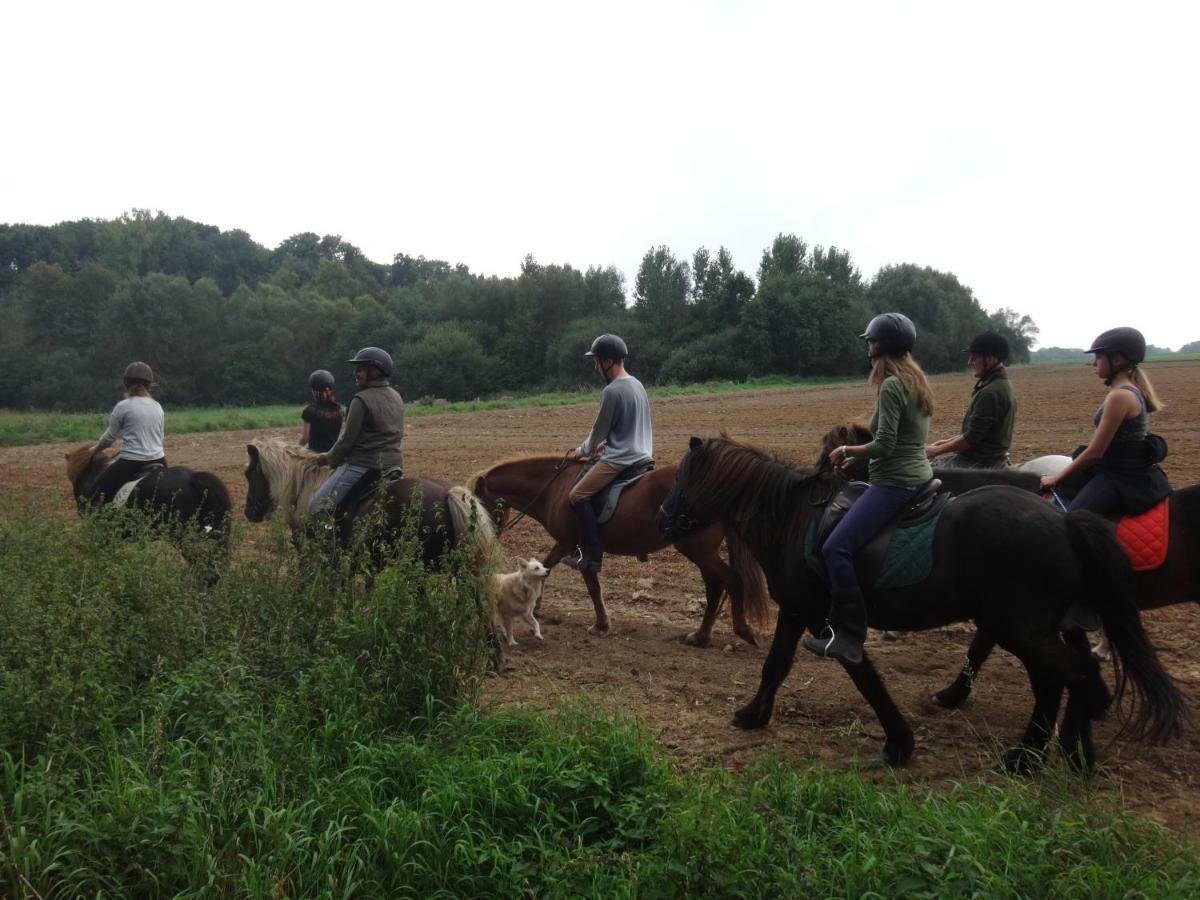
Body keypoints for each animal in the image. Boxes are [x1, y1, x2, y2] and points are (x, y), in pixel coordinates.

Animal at [468, 453, 768, 643]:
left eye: (479, 505)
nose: (483, 537)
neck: (557, 489)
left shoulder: (574, 546)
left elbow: (587, 584)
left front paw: (600, 625)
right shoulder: (569, 546)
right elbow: (549, 569)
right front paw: (537, 606)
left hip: (699, 550)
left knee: (730, 581)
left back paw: (738, 630)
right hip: (702, 552)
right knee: (715, 585)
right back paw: (702, 635)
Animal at [657, 436, 1180, 777]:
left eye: (681, 478)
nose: (663, 518)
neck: (793, 517)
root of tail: (1063, 521)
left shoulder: (827, 619)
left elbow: (863, 676)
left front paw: (898, 744)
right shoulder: (796, 611)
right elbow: (776, 664)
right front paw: (753, 715)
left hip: (1021, 627)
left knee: (1073, 675)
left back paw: (1048, 754)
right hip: (1027, 627)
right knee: (1055, 680)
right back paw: (1045, 755)